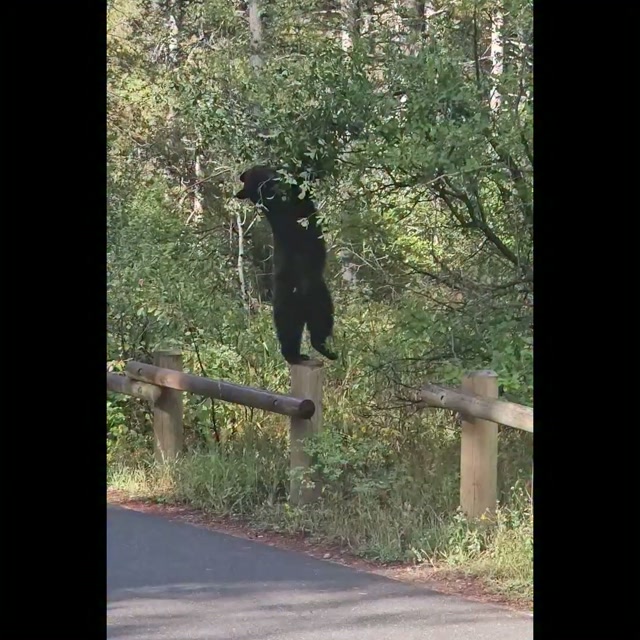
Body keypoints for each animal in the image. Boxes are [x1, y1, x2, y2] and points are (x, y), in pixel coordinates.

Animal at [235, 165, 338, 365]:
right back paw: (313, 351)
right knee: (306, 324)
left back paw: (306, 352)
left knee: (303, 325)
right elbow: (300, 188)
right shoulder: (287, 199)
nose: (243, 174)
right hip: (301, 298)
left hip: (305, 299)